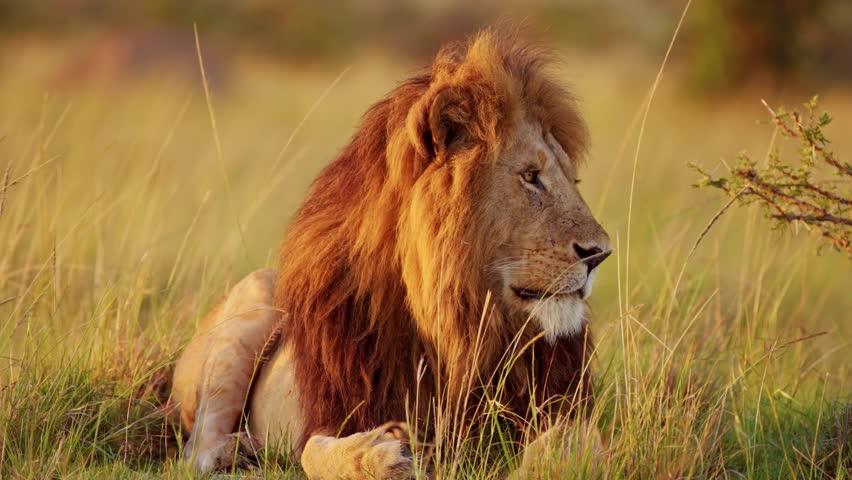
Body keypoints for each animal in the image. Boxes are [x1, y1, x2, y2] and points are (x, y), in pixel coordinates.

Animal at [171, 29, 612, 478]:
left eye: (573, 180)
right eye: (530, 176)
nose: (599, 254)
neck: (459, 326)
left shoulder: (563, 406)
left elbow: (570, 444)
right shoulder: (339, 407)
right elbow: (316, 451)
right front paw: (382, 456)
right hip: (255, 297)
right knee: (195, 449)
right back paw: (237, 449)